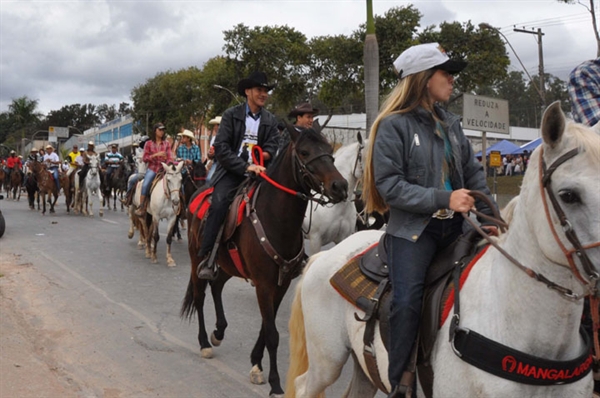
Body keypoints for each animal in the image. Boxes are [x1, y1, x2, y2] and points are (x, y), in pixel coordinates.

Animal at [180, 123, 346, 394]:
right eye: (304, 152)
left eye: (329, 150)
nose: (340, 186)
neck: (276, 219)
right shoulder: (264, 284)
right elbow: (272, 334)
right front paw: (275, 382)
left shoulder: (280, 283)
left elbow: (266, 328)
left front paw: (256, 364)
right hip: (197, 261)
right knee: (199, 295)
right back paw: (205, 341)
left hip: (228, 266)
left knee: (216, 286)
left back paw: (219, 331)